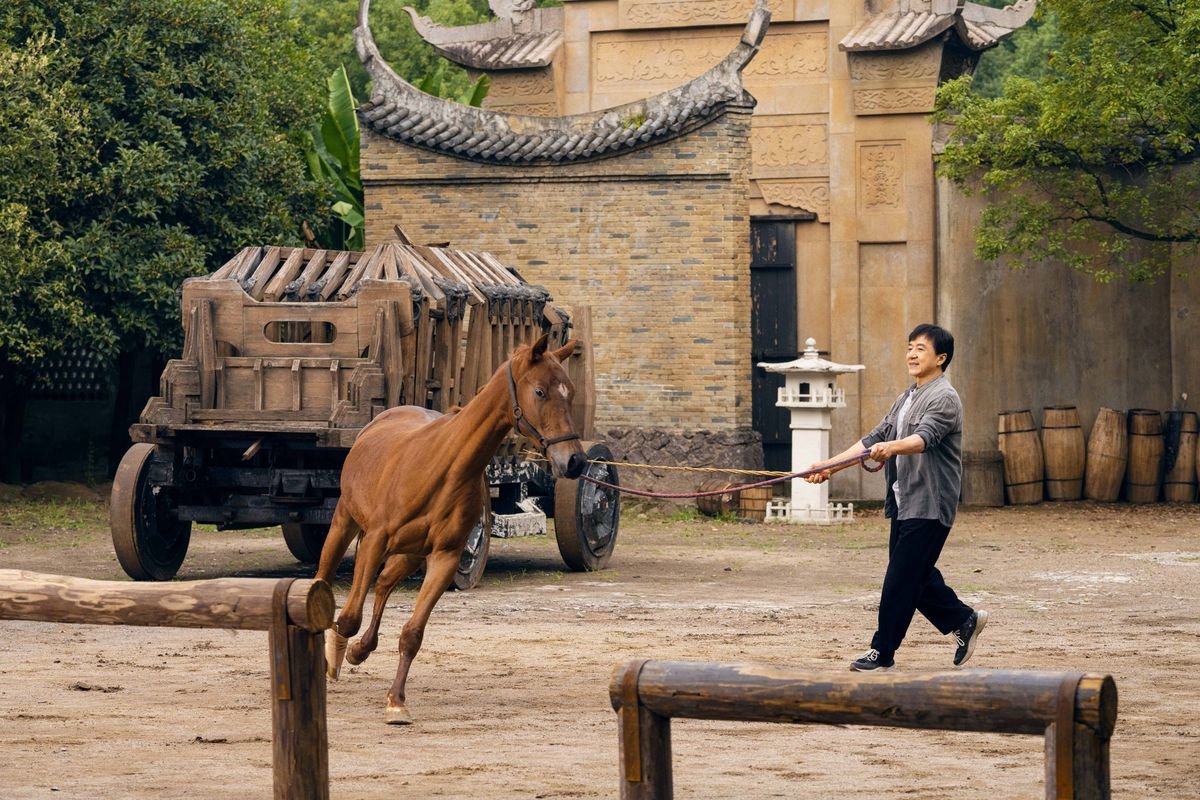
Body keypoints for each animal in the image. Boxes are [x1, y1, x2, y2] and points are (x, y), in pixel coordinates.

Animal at [314, 335, 585, 724]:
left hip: (411, 554)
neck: (446, 465)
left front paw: (396, 700)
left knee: (383, 584)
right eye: (540, 391)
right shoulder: (376, 541)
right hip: (344, 524)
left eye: (570, 391)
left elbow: (413, 633)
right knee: (326, 581)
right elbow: (348, 617)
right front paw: (334, 659)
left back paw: (361, 649)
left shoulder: (444, 557)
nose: (575, 461)